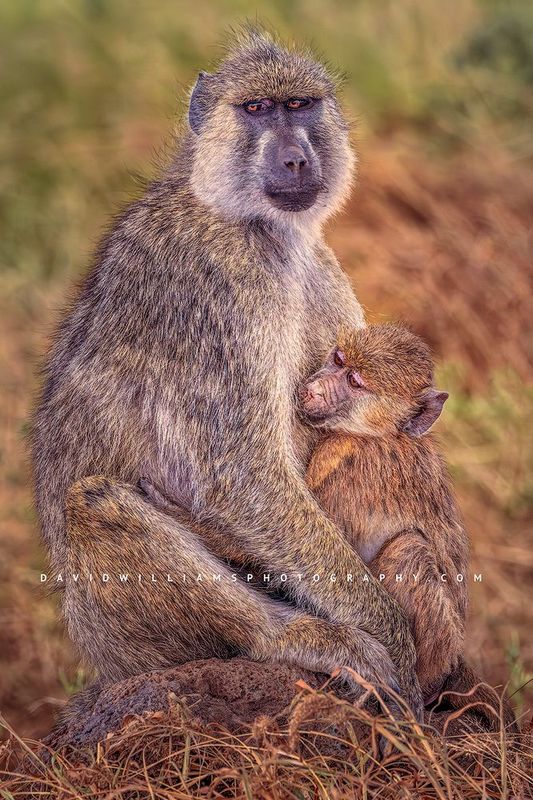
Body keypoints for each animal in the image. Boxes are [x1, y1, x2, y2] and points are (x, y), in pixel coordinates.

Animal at [32, 28, 424, 720]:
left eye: (298, 105)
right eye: (256, 110)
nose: (295, 161)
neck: (254, 226)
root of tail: (100, 661)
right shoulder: (219, 289)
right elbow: (245, 478)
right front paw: (395, 639)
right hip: (123, 634)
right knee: (94, 501)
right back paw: (297, 638)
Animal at [300, 323, 468, 701]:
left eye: (355, 382)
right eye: (338, 360)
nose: (312, 389)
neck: (379, 434)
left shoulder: (340, 456)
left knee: (410, 549)